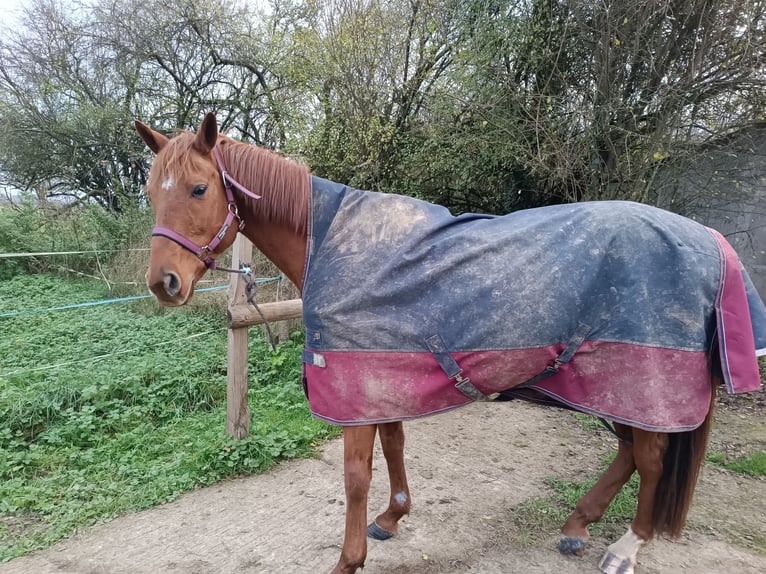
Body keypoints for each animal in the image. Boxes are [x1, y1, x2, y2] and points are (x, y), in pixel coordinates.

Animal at [135, 113, 764, 574]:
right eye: (149, 192)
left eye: (198, 188)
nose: (164, 284)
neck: (332, 241)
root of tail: (708, 239)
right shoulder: (381, 376)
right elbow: (394, 447)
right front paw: (392, 518)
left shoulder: (357, 389)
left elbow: (356, 476)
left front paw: (348, 559)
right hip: (605, 385)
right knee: (631, 453)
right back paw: (576, 526)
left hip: (642, 383)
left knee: (652, 461)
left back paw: (624, 548)